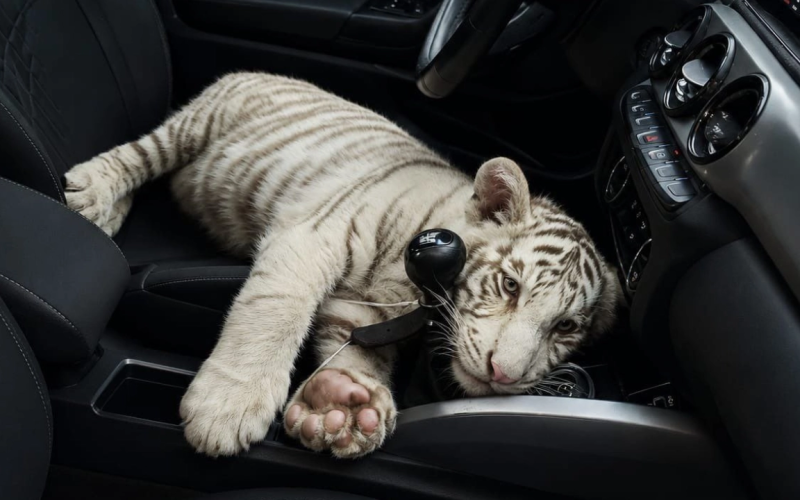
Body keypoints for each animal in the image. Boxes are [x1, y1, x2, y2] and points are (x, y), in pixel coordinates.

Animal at [64, 72, 621, 459]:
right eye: (509, 285)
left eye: (565, 327)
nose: (503, 375)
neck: (414, 286)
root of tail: (264, 71)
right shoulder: (312, 236)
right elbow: (274, 313)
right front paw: (227, 407)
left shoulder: (364, 309)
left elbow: (357, 353)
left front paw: (343, 405)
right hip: (196, 124)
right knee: (140, 154)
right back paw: (91, 193)